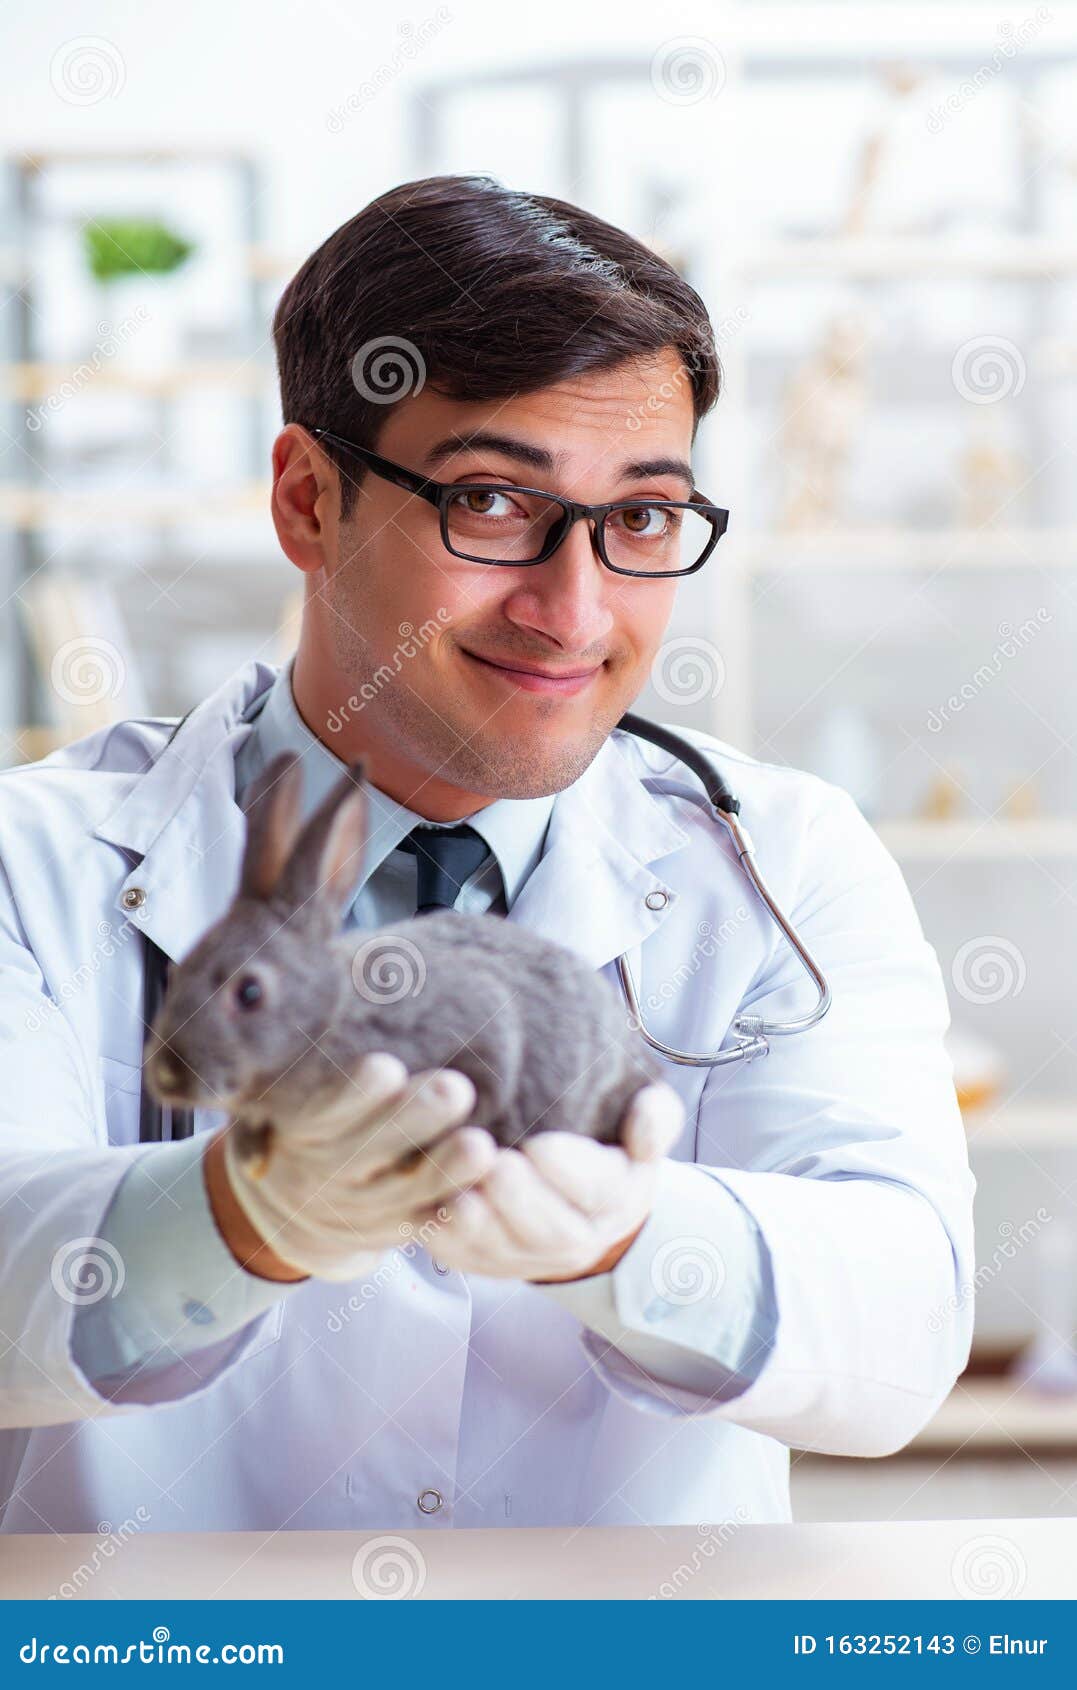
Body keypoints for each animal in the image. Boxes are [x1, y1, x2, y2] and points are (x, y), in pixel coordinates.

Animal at [143, 749, 660, 1175]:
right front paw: (250, 1155)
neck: (330, 1012)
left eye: (249, 992)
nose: (166, 1075)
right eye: (175, 974)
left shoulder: (479, 1026)